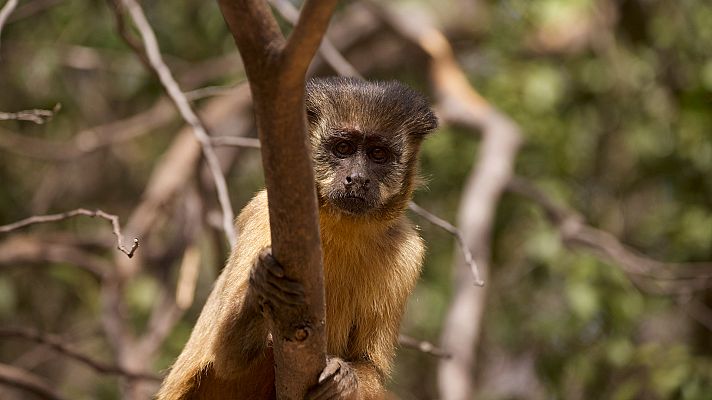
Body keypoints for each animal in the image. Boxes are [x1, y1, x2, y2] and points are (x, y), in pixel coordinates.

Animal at [157, 77, 440, 400]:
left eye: (378, 154)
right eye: (343, 148)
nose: (357, 178)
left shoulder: (409, 252)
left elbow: (371, 366)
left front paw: (345, 381)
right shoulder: (265, 214)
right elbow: (228, 358)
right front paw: (263, 285)